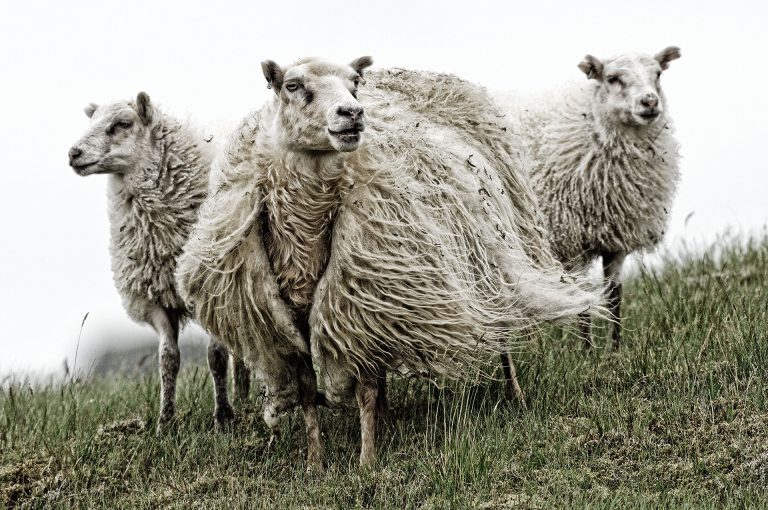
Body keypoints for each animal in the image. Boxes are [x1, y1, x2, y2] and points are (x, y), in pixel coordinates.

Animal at [67, 93, 249, 432]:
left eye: (122, 123)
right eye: (91, 121)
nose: (74, 153)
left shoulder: (211, 290)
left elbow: (216, 356)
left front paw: (222, 418)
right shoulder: (155, 299)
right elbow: (168, 359)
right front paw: (165, 422)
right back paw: (243, 398)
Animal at [178, 57, 600, 468]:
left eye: (353, 83)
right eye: (293, 86)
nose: (352, 112)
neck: (306, 231)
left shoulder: (356, 303)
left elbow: (363, 388)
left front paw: (367, 463)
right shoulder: (297, 320)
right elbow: (308, 393)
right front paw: (316, 465)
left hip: (487, 262)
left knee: (501, 331)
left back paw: (515, 395)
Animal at [498, 46, 684, 346]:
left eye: (657, 74)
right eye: (612, 78)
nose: (649, 102)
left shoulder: (617, 242)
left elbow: (614, 294)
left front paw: (615, 347)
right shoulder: (571, 239)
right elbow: (583, 296)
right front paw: (586, 350)